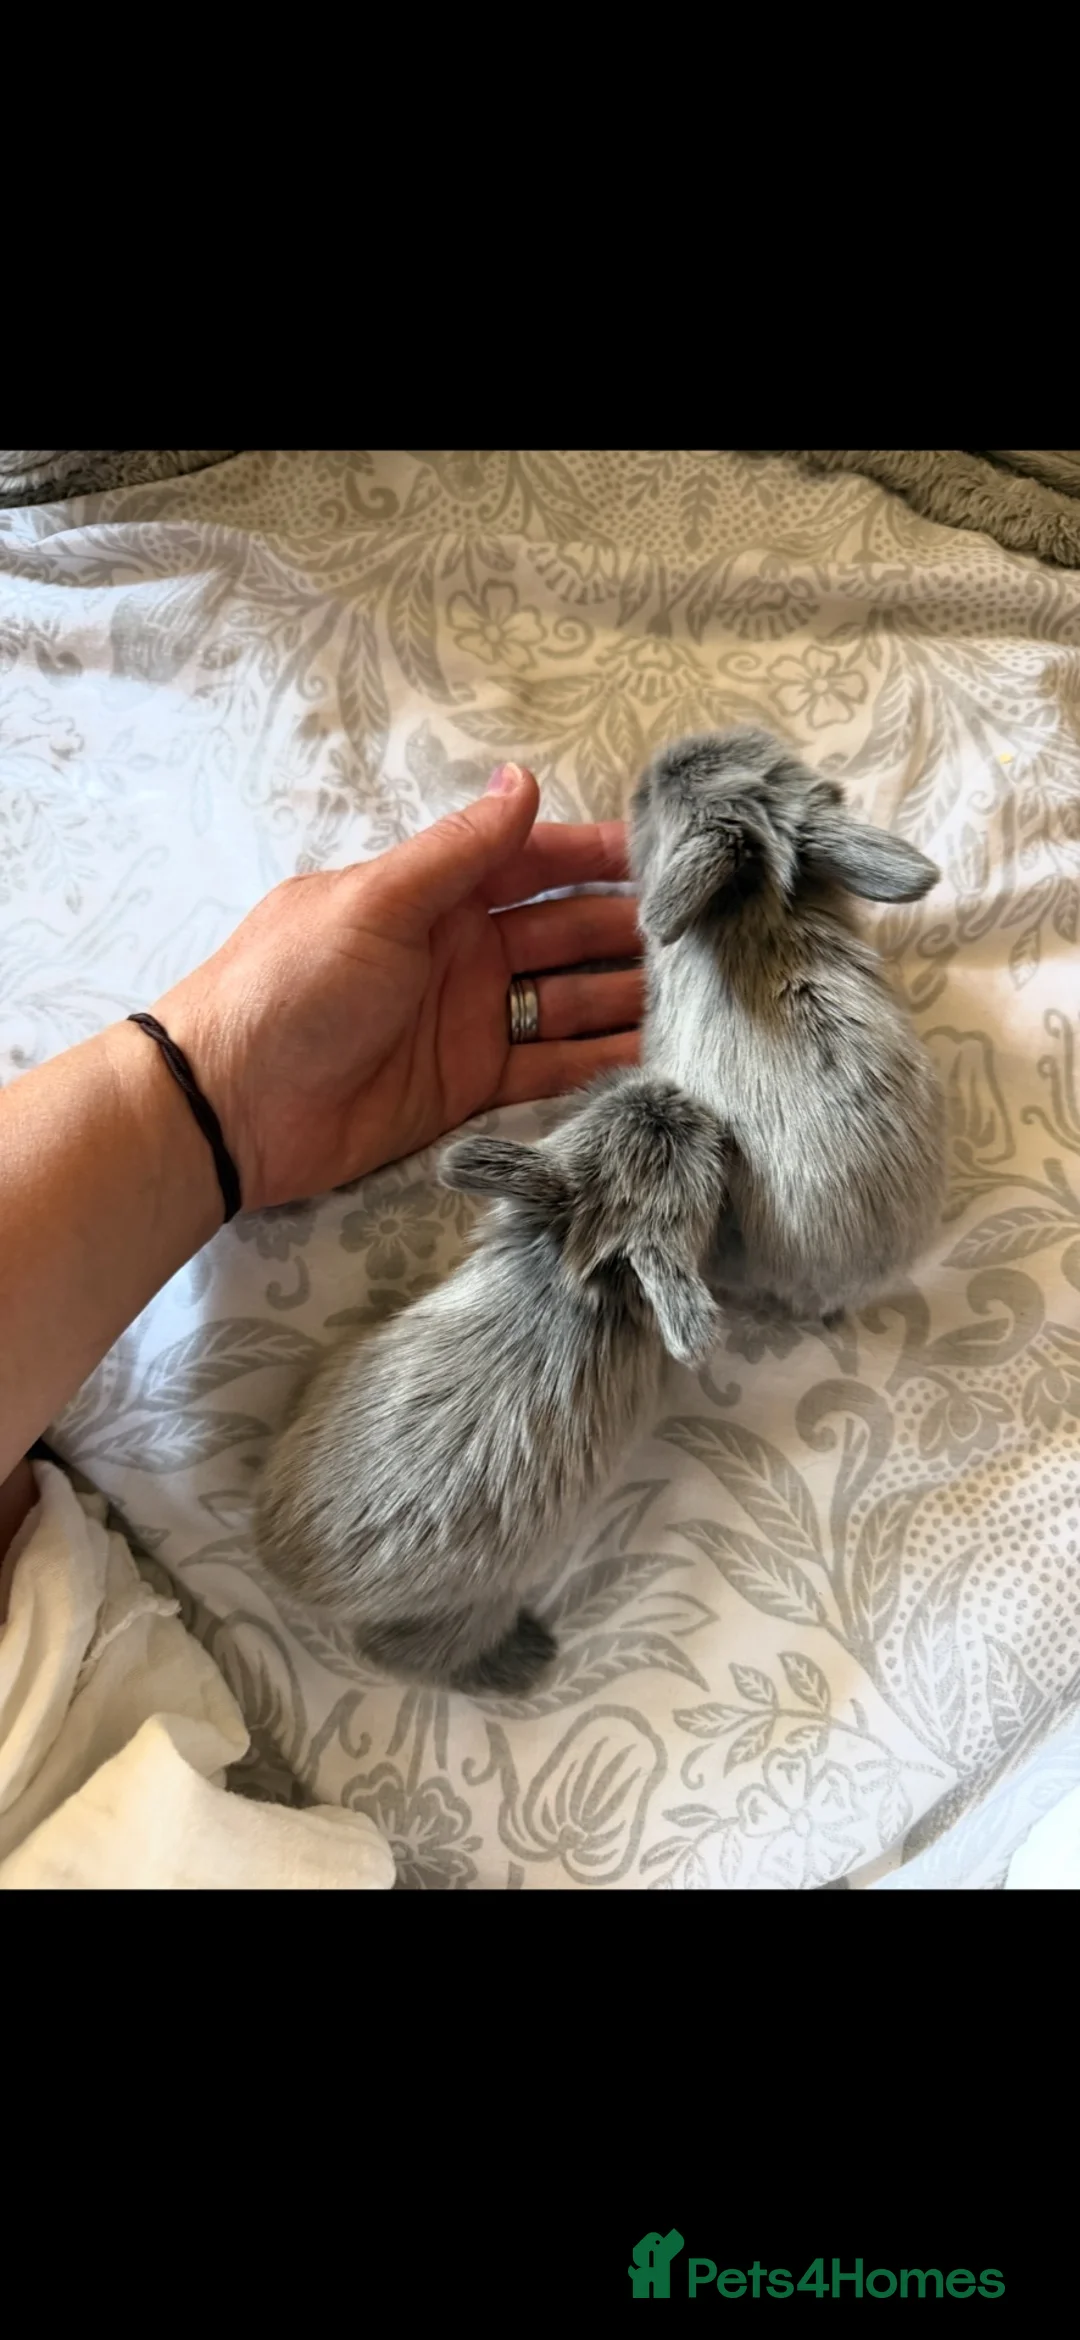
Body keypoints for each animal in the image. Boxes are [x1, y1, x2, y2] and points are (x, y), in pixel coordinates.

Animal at [254, 1070, 730, 1695]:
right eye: (691, 1147)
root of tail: (283, 1569)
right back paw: (525, 1658)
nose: (664, 1092)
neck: (570, 1278)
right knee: (406, 1657)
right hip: (471, 1611)